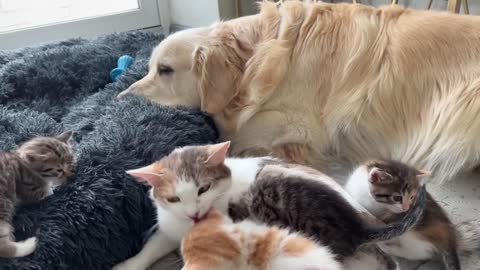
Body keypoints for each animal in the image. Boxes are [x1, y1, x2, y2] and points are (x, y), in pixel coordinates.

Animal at [344, 159, 480, 270]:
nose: (407, 208)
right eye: (397, 198)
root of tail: (451, 236)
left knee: (415, 252)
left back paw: (386, 247)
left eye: (412, 197)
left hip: (415, 235)